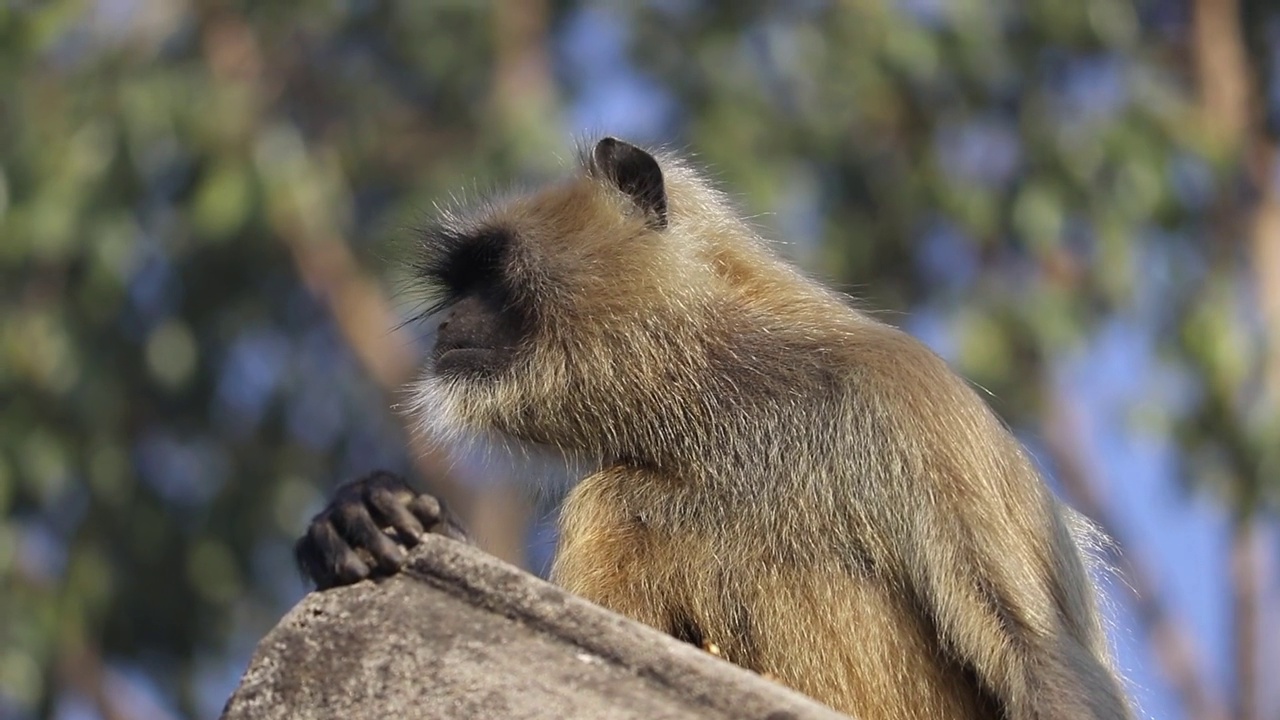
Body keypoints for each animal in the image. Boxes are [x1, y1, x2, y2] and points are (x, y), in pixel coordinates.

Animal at [296, 135, 1131, 717]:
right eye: (459, 287)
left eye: (491, 274)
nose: (448, 326)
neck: (726, 405)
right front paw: (364, 515)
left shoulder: (907, 399)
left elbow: (1042, 659)